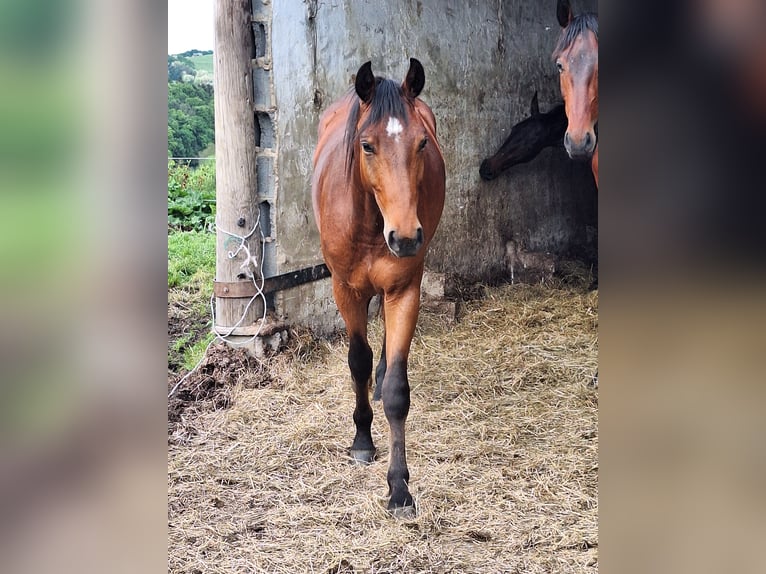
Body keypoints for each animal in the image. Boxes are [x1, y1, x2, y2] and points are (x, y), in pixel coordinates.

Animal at [312, 57, 448, 516]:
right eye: (367, 145)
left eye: (421, 143)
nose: (405, 238)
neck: (370, 224)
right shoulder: (345, 290)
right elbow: (356, 360)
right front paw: (361, 441)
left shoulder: (404, 289)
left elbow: (397, 392)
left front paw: (399, 486)